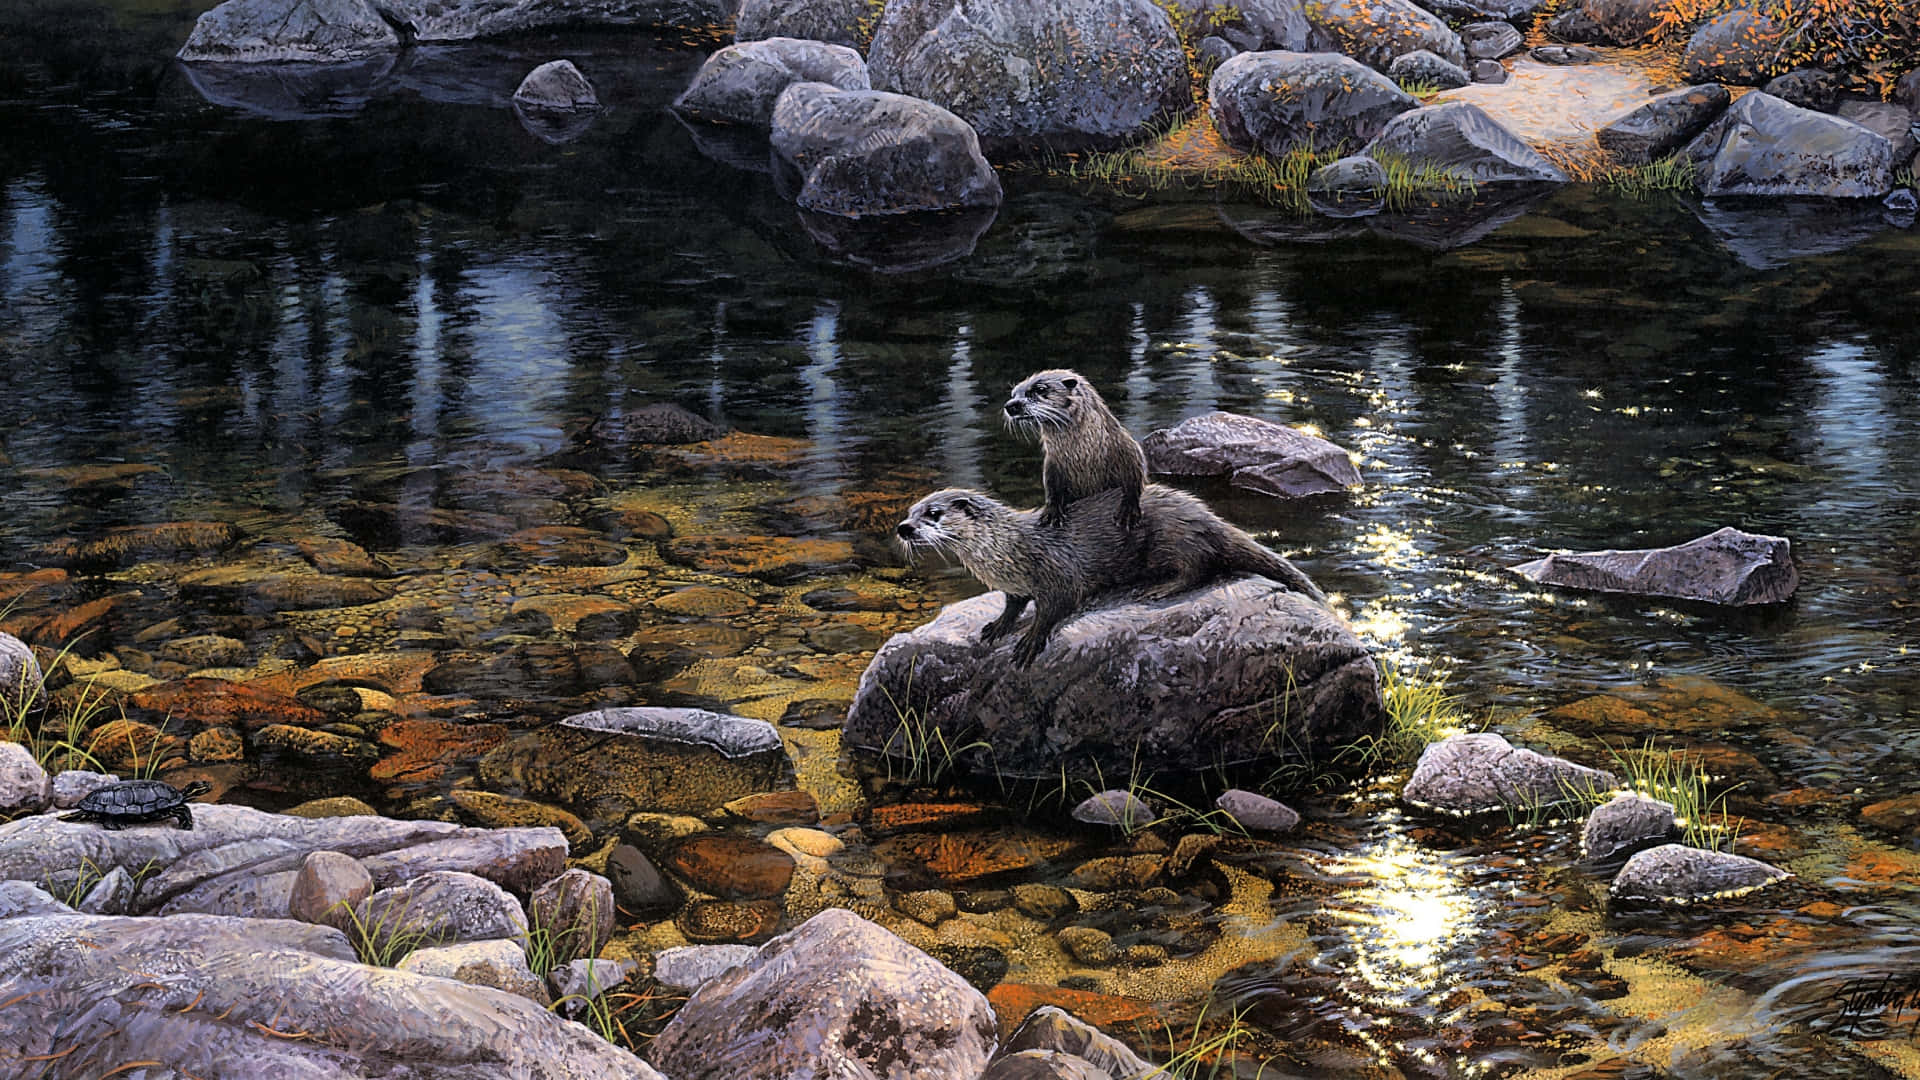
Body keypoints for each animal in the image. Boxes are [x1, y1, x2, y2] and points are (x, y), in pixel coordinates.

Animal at [896, 484, 1327, 667]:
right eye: (910, 511)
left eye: (933, 514)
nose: (903, 528)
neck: (1006, 552)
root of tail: (1205, 514)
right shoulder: (1013, 586)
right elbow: (1014, 604)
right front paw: (998, 625)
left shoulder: (1057, 572)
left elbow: (1055, 606)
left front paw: (1031, 640)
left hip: (1174, 537)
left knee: (1200, 565)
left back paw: (1162, 587)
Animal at [1003, 369, 1147, 531]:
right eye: (1013, 394)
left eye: (1040, 389)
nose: (1010, 405)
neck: (1086, 458)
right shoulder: (1052, 466)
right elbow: (1052, 489)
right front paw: (1052, 512)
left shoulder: (1129, 452)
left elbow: (1133, 481)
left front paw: (1128, 511)